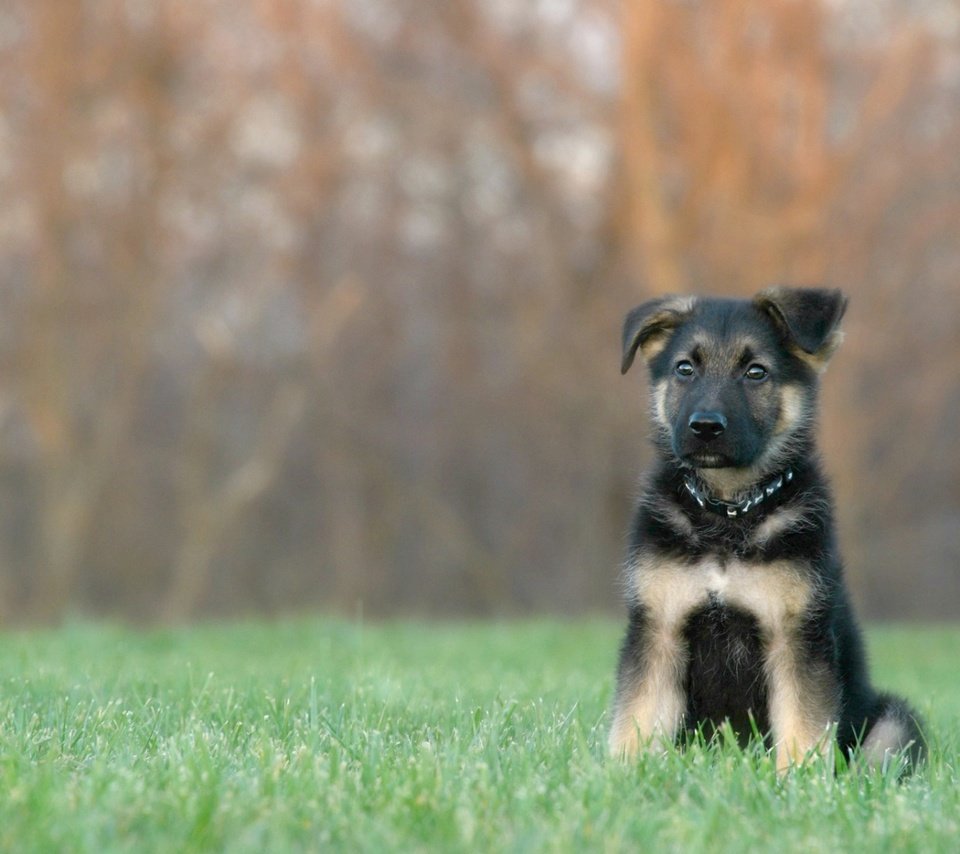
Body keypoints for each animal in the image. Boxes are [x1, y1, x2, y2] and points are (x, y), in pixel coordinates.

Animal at [608, 290, 924, 776]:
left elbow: (802, 726)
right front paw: (622, 776)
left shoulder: (794, 636)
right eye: (684, 368)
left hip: (893, 721)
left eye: (755, 372)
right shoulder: (659, 627)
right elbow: (637, 717)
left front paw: (798, 783)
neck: (729, 512)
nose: (705, 427)